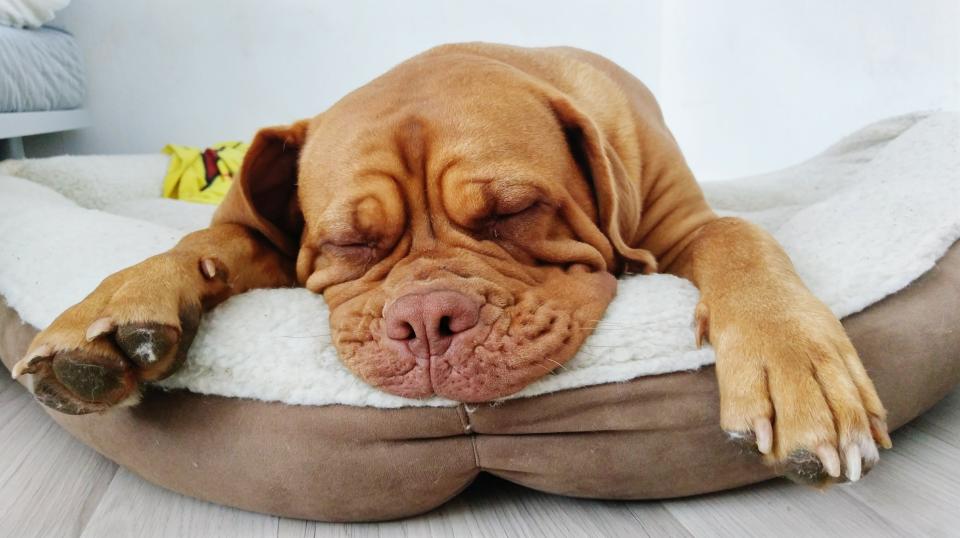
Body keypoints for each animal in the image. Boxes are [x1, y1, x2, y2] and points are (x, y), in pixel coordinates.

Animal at [13, 44, 892, 484]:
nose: (427, 321)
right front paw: (111, 313)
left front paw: (795, 369)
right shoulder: (268, 240)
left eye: (513, 210)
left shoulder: (685, 223)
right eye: (349, 244)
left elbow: (740, 237)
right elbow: (208, 244)